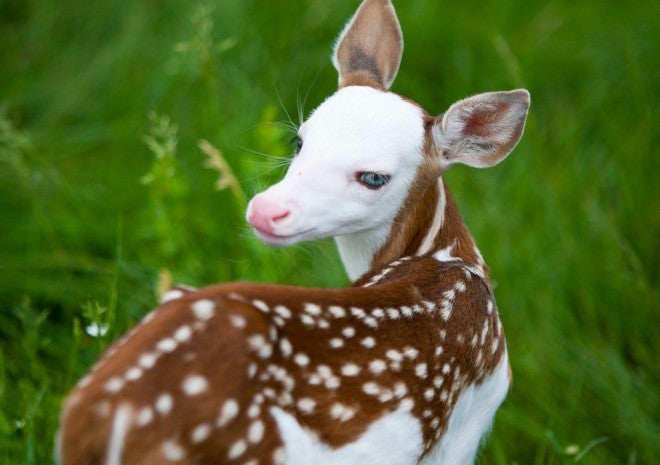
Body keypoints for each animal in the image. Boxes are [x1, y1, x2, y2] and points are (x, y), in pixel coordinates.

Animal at [56, 0, 532, 464]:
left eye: (373, 177)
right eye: (299, 141)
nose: (266, 210)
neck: (452, 260)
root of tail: (98, 420)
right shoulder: (463, 431)